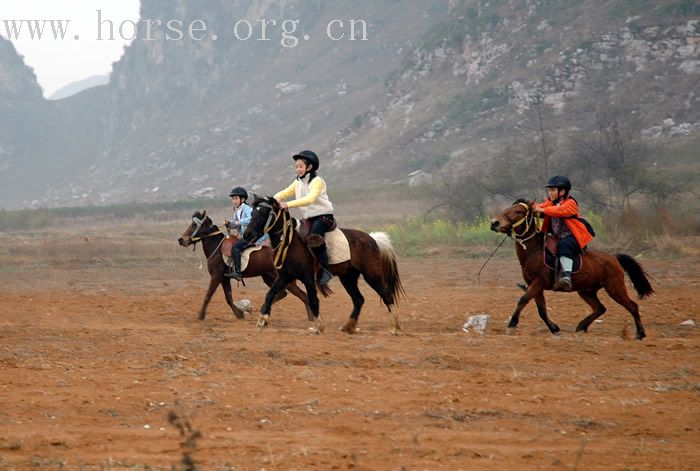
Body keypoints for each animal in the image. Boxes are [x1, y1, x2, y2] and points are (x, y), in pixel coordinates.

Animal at [178, 210, 312, 320]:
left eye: (194, 225)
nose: (181, 239)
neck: (217, 248)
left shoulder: (216, 276)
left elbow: (208, 295)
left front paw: (201, 316)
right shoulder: (224, 278)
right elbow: (228, 298)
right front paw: (240, 314)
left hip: (285, 280)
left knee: (303, 295)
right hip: (268, 277)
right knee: (283, 293)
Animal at [243, 196, 402, 336]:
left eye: (263, 213)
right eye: (252, 213)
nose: (247, 234)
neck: (291, 243)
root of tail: (373, 239)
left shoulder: (307, 277)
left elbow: (313, 300)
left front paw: (318, 326)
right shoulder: (285, 276)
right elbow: (270, 294)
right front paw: (262, 320)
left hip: (372, 275)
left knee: (387, 296)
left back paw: (395, 328)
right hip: (348, 278)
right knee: (359, 299)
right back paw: (348, 326)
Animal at [490, 201, 652, 342]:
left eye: (518, 211)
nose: (494, 223)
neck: (534, 251)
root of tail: (614, 257)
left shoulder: (538, 283)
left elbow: (523, 300)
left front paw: (512, 325)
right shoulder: (534, 286)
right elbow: (541, 310)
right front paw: (554, 328)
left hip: (615, 288)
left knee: (632, 306)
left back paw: (640, 334)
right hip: (587, 291)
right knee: (600, 308)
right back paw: (581, 327)